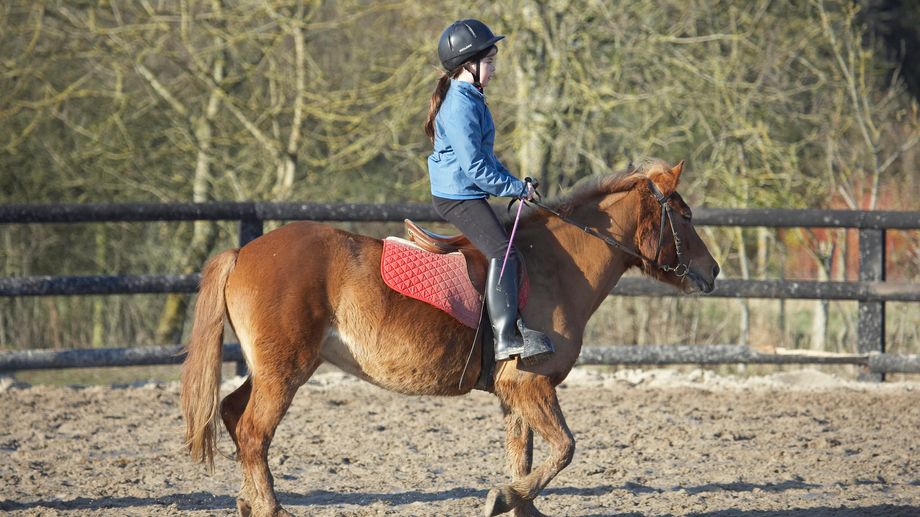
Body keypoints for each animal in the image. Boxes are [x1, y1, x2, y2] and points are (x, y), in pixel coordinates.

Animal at [180, 158, 720, 517]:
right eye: (685, 216)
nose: (713, 271)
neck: (554, 265)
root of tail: (245, 252)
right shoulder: (531, 385)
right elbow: (564, 449)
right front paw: (504, 496)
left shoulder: (515, 393)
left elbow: (523, 455)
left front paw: (514, 500)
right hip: (284, 370)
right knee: (254, 431)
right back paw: (270, 508)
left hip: (274, 368)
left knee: (234, 415)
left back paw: (249, 503)